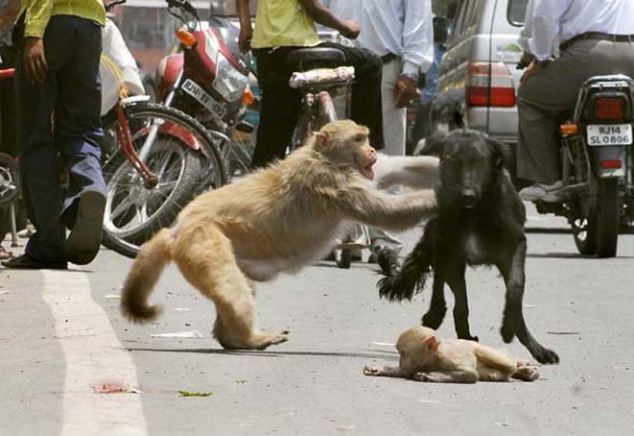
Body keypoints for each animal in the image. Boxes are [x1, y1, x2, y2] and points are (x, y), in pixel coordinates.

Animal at [119, 122, 434, 350]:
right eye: (358, 139)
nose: (371, 152)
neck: (324, 157)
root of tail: (177, 228)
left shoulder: (357, 174)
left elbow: (398, 169)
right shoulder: (333, 183)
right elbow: (387, 213)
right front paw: (437, 198)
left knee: (240, 285)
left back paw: (232, 340)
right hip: (202, 241)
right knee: (230, 285)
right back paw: (249, 339)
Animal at [362, 326, 536, 384]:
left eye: (403, 353)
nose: (400, 362)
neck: (431, 360)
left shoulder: (448, 360)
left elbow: (471, 374)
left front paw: (431, 376)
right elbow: (404, 372)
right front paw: (379, 369)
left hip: (483, 348)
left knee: (508, 365)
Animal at [376, 129, 556, 364]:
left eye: (480, 160)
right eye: (452, 160)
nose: (467, 194)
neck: (474, 213)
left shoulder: (514, 247)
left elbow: (516, 287)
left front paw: (510, 328)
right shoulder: (450, 252)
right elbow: (455, 299)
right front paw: (446, 322)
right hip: (444, 249)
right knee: (446, 291)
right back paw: (447, 324)